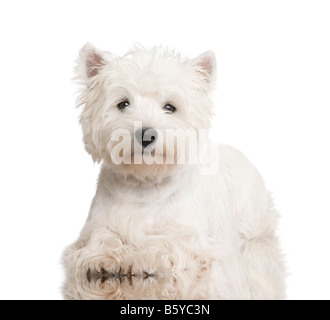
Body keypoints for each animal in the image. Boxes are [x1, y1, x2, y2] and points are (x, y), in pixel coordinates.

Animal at [62, 42, 286, 300]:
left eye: (170, 107)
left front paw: (141, 256)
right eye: (123, 104)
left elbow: (165, 243)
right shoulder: (97, 225)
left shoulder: (192, 238)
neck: (144, 184)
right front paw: (105, 256)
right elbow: (101, 239)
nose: (146, 135)